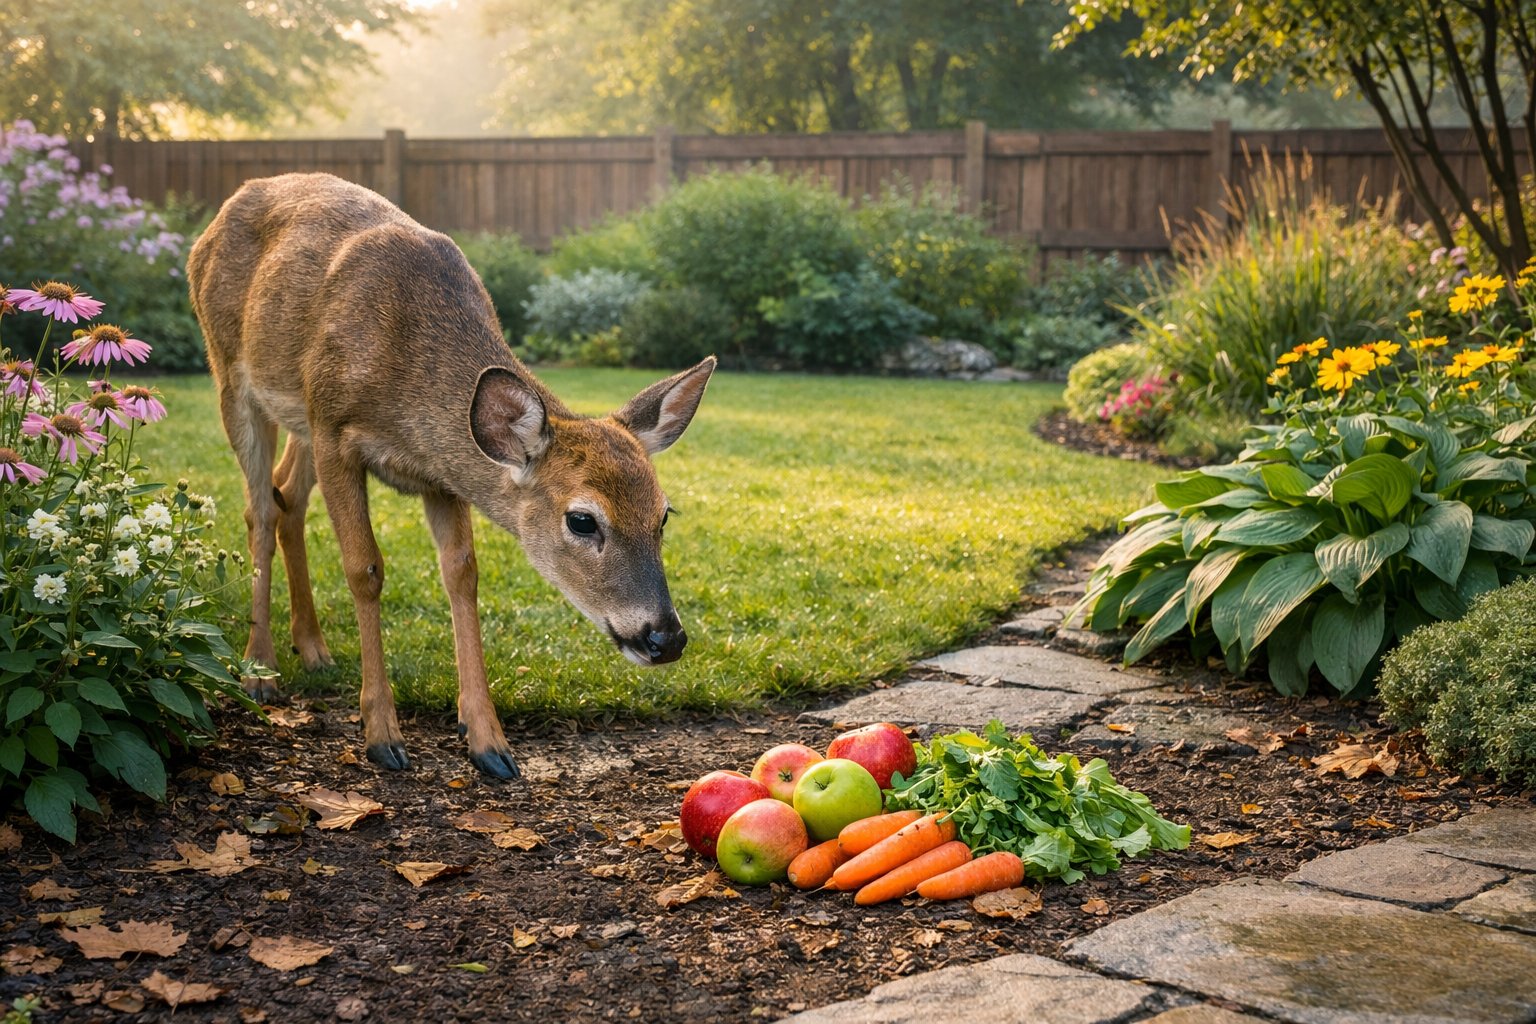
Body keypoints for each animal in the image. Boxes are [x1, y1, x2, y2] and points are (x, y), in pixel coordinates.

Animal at [186, 172, 715, 780]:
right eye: (583, 520)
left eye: (663, 515)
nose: (665, 638)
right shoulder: (335, 430)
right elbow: (364, 568)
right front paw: (382, 735)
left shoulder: (439, 475)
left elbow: (462, 573)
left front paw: (487, 740)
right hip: (232, 375)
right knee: (259, 509)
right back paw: (258, 669)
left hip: (298, 418)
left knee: (286, 497)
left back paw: (314, 649)